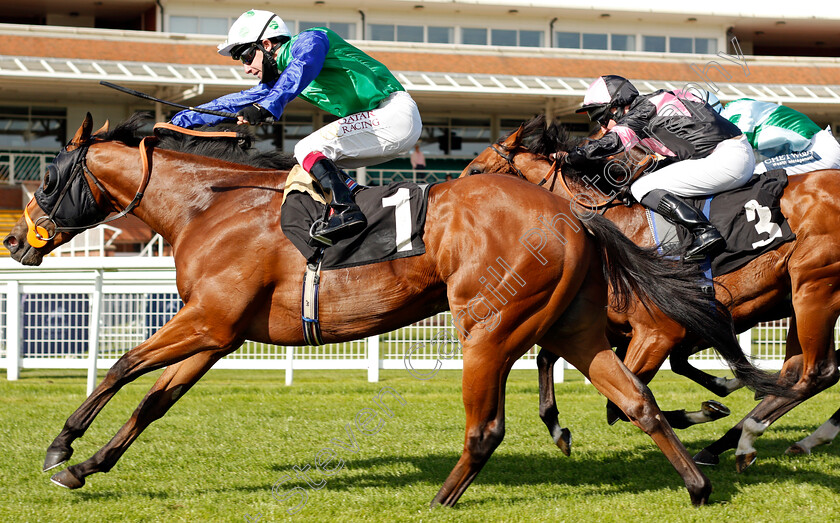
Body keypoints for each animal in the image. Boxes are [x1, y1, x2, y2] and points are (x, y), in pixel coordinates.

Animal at [1, 111, 780, 508]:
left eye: (51, 174)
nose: (13, 238)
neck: (205, 205)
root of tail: (572, 214)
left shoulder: (208, 320)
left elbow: (120, 369)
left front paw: (60, 448)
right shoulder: (219, 333)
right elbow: (152, 399)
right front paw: (88, 464)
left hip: (489, 327)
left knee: (487, 427)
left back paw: (439, 501)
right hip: (577, 326)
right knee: (636, 399)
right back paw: (698, 483)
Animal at [462, 116, 840, 472]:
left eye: (477, 170)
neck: (618, 226)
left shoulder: (658, 332)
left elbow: (618, 404)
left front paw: (709, 408)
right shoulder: (618, 327)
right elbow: (549, 360)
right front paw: (558, 430)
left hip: (814, 288)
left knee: (817, 372)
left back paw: (751, 438)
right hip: (800, 298)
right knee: (798, 372)